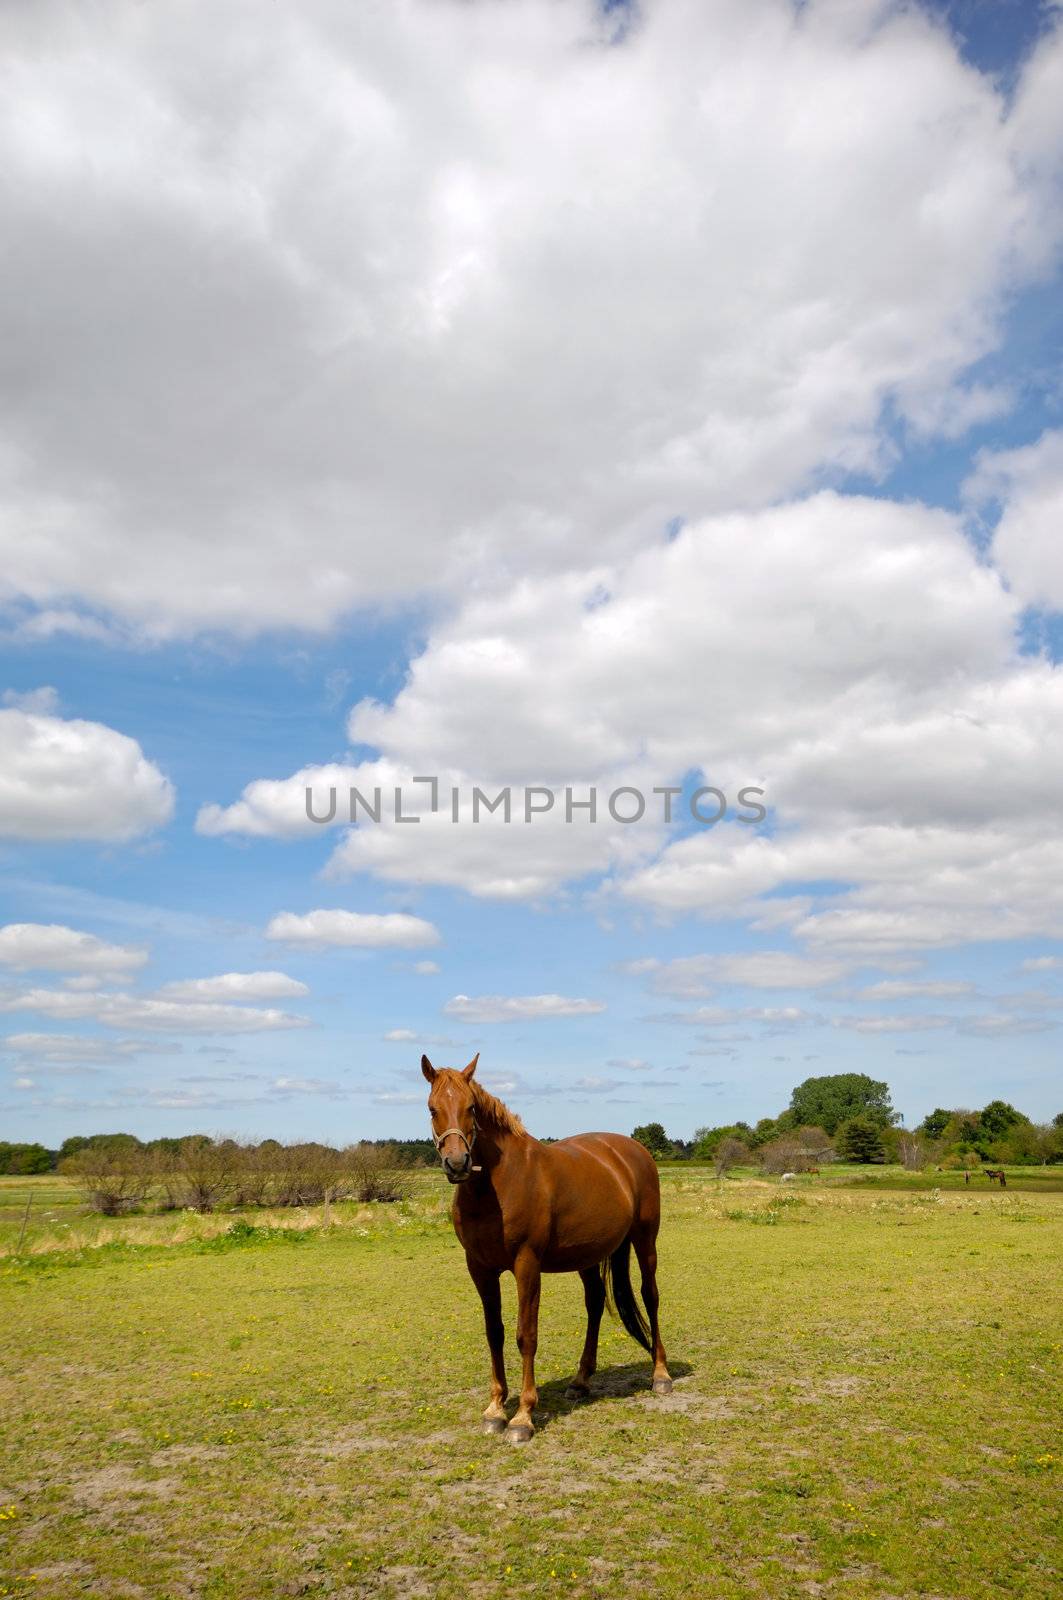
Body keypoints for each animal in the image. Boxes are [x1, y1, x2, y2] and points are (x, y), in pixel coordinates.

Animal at [422, 1056, 672, 1446]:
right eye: (432, 1108)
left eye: (471, 1108)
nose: (458, 1163)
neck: (497, 1184)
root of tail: (634, 1151)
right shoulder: (480, 1268)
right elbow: (494, 1332)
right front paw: (495, 1409)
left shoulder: (526, 1264)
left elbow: (526, 1335)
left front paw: (523, 1417)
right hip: (588, 1255)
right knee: (595, 1304)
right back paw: (581, 1382)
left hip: (645, 1241)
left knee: (650, 1296)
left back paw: (660, 1374)